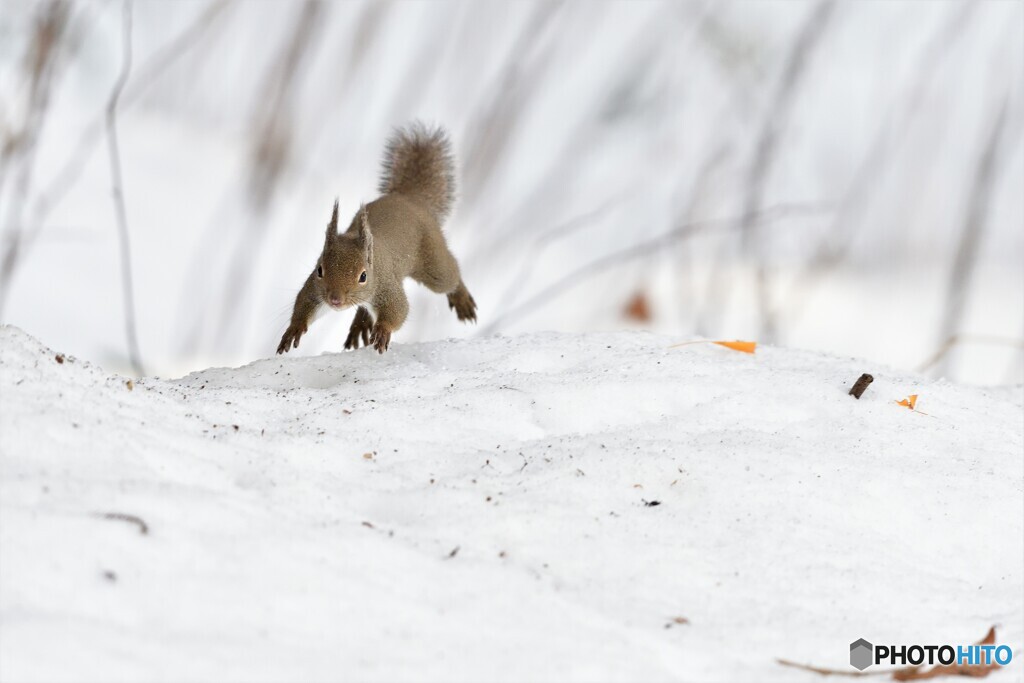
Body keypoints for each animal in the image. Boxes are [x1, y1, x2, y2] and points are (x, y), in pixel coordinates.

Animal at [276, 124, 475, 358]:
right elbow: (304, 304)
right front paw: (294, 328)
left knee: (450, 276)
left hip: (433, 262)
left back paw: (462, 299)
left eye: (363, 276)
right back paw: (360, 325)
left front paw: (382, 330)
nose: (335, 300)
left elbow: (398, 310)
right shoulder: (314, 290)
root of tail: (408, 198)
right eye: (319, 270)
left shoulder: (386, 286)